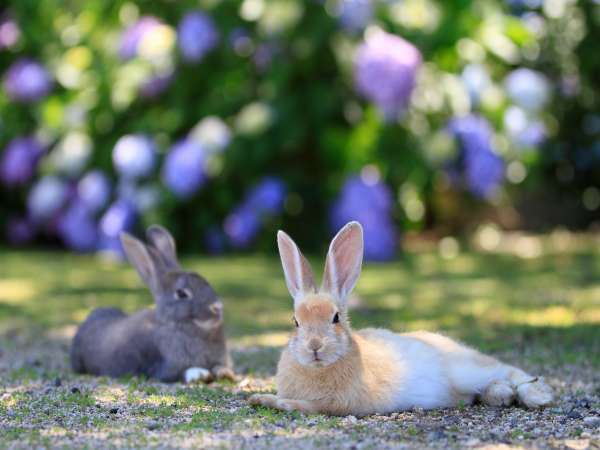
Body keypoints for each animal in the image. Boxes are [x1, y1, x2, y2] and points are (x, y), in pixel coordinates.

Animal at [70, 225, 234, 384]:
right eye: (181, 293)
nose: (217, 307)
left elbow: (219, 366)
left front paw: (226, 373)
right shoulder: (163, 368)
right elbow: (182, 372)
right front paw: (200, 374)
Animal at [248, 221, 552, 414]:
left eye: (335, 318)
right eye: (295, 322)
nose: (314, 347)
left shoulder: (339, 404)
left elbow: (303, 405)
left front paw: (262, 399)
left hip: (465, 369)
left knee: (507, 369)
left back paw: (538, 397)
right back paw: (501, 396)